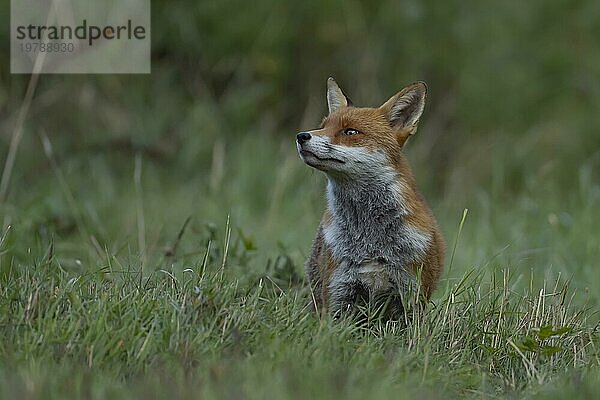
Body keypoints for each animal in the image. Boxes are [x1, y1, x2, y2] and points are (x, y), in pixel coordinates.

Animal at [296, 78, 446, 320]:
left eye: (350, 131)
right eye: (323, 125)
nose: (301, 136)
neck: (369, 240)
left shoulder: (410, 298)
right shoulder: (338, 293)